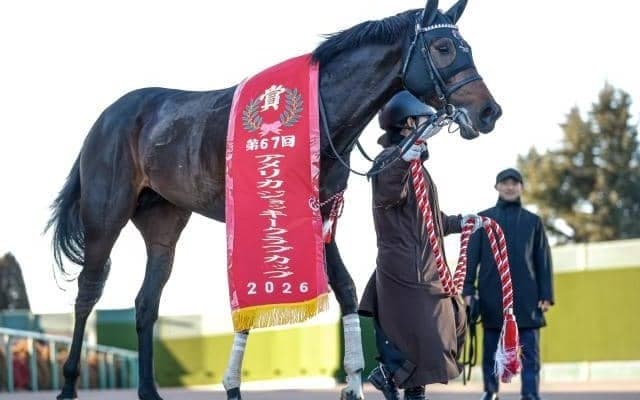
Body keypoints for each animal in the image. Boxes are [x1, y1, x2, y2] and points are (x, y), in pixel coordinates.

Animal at [46, 0, 501, 399]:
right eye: (443, 48)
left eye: (467, 48)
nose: (489, 112)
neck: (320, 115)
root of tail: (107, 117)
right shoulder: (267, 213)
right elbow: (255, 302)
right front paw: (232, 385)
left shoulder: (321, 215)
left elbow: (346, 287)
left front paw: (354, 381)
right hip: (105, 216)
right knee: (88, 291)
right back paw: (67, 384)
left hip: (164, 223)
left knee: (145, 303)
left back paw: (148, 391)